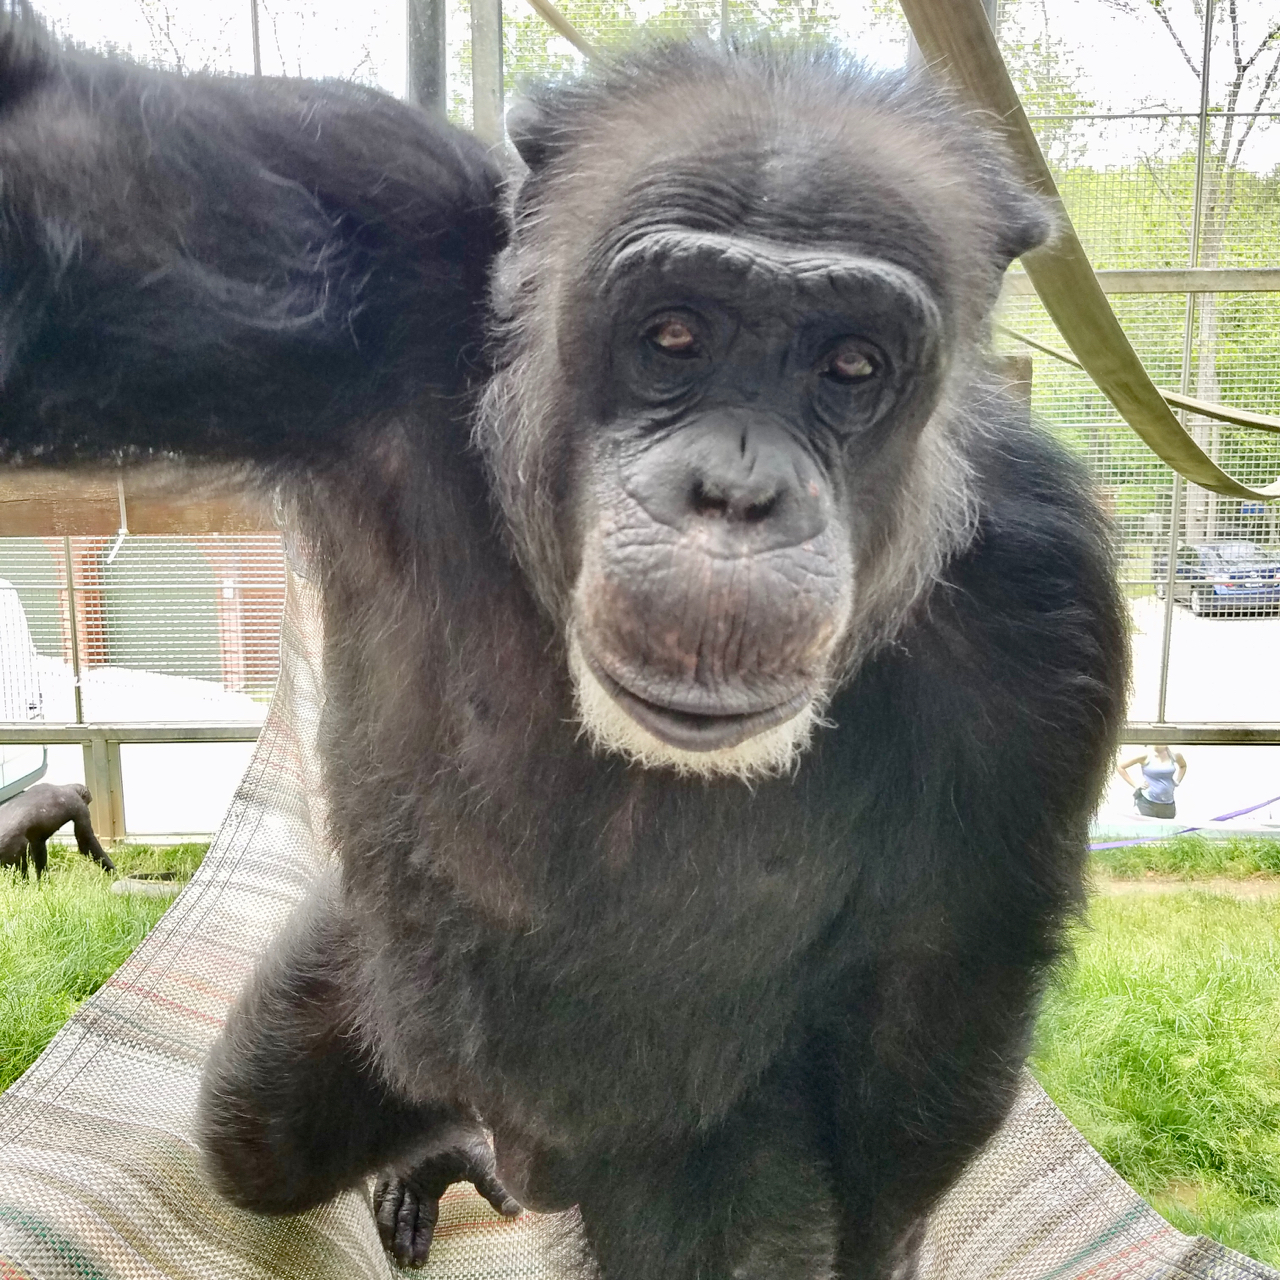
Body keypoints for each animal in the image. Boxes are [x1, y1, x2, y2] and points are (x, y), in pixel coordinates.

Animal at [0, 23, 1129, 1279]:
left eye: (849, 364)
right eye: (672, 334)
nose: (734, 491)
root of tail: (537, 1158)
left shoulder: (1039, 616)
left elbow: (931, 1016)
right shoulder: (360, 227)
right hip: (377, 1004)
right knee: (260, 1131)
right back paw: (433, 1156)